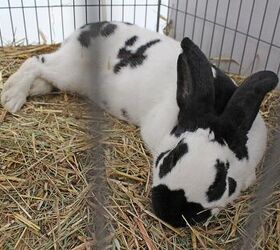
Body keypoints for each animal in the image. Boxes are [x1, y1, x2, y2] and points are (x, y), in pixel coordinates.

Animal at [1, 22, 278, 228]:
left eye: (220, 183)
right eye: (171, 157)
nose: (171, 212)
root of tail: (87, 28)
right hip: (70, 71)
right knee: (36, 61)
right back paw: (12, 96)